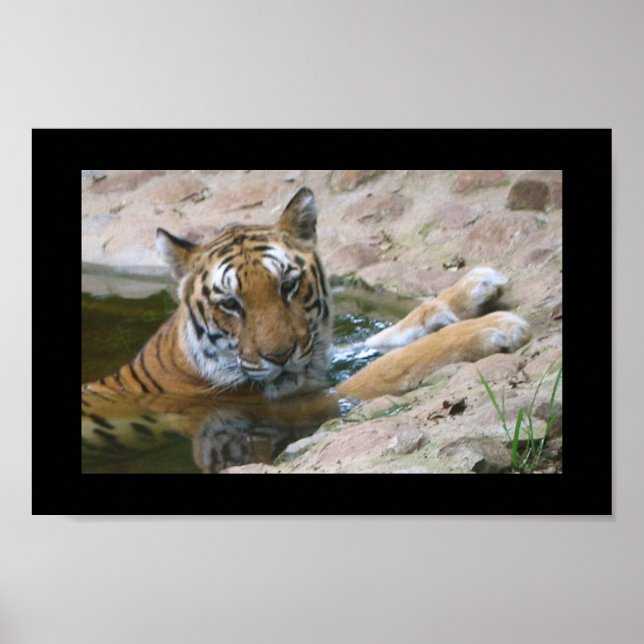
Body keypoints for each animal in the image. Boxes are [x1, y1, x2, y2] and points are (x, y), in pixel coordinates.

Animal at [82, 187, 532, 472]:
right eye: (230, 304)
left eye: (287, 285)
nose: (279, 356)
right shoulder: (300, 402)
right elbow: (397, 363)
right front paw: (494, 326)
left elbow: (382, 339)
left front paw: (472, 287)